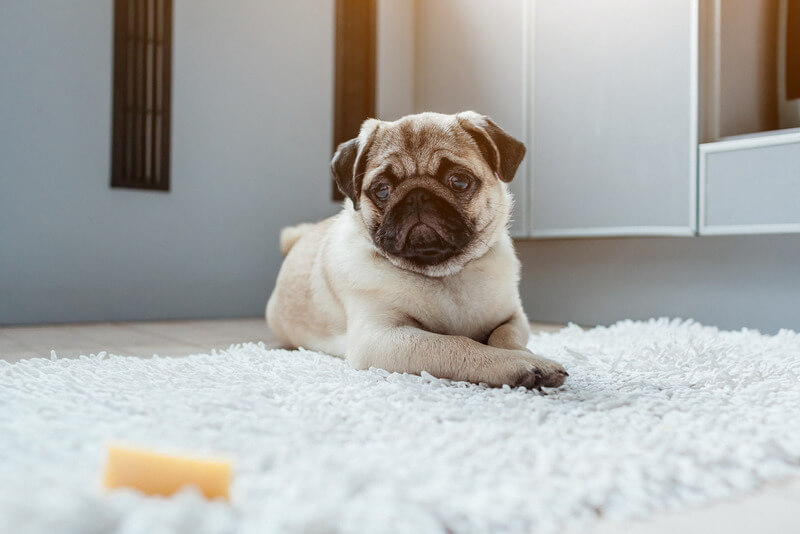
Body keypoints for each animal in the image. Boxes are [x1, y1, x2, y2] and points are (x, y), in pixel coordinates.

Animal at [268, 113, 568, 390]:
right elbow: (458, 345)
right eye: (382, 190)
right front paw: (521, 364)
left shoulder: (514, 318)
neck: (445, 275)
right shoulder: (380, 337)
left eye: (459, 181)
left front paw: (523, 353)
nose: (417, 195)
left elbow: (505, 336)